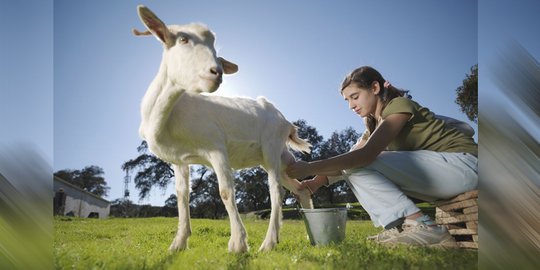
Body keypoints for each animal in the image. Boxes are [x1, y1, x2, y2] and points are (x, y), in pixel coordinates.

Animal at [133, 4, 314, 253]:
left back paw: (268, 243)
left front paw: (238, 243)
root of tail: (285, 121)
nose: (216, 72)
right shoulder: (179, 160)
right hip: (279, 157)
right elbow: (182, 196)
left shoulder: (216, 147)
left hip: (271, 146)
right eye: (182, 39)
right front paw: (178, 243)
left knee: (276, 191)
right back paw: (310, 236)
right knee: (301, 187)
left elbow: (226, 192)